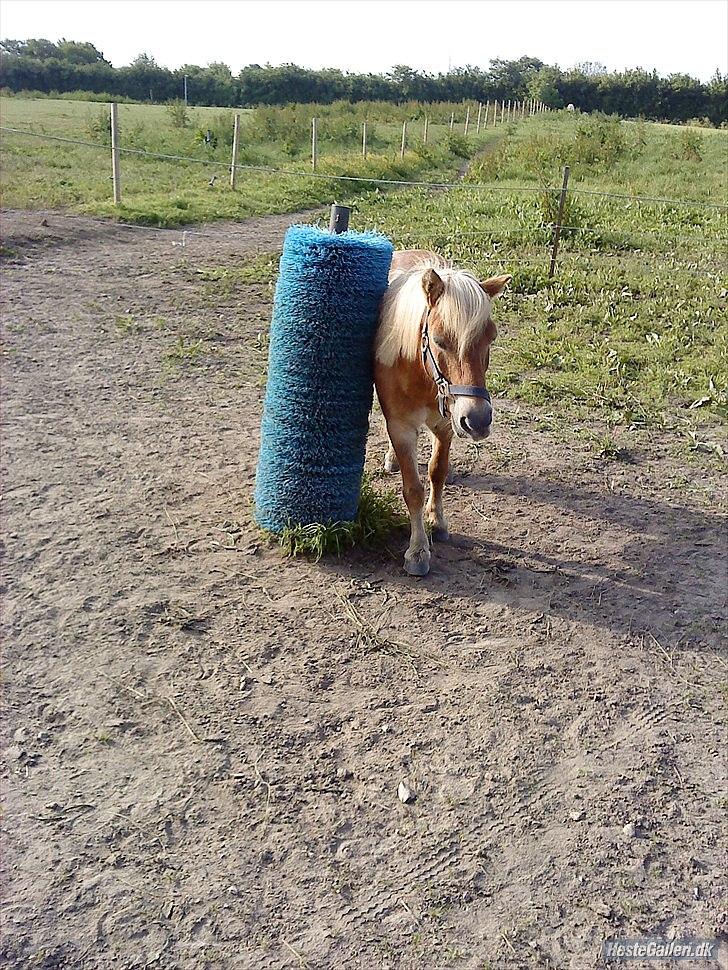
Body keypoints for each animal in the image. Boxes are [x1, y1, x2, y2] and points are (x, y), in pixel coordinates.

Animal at [376, 250, 512, 576]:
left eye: (491, 337)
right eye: (439, 340)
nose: (478, 420)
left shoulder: (447, 425)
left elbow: (436, 471)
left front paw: (436, 522)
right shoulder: (400, 427)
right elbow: (413, 489)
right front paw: (417, 552)